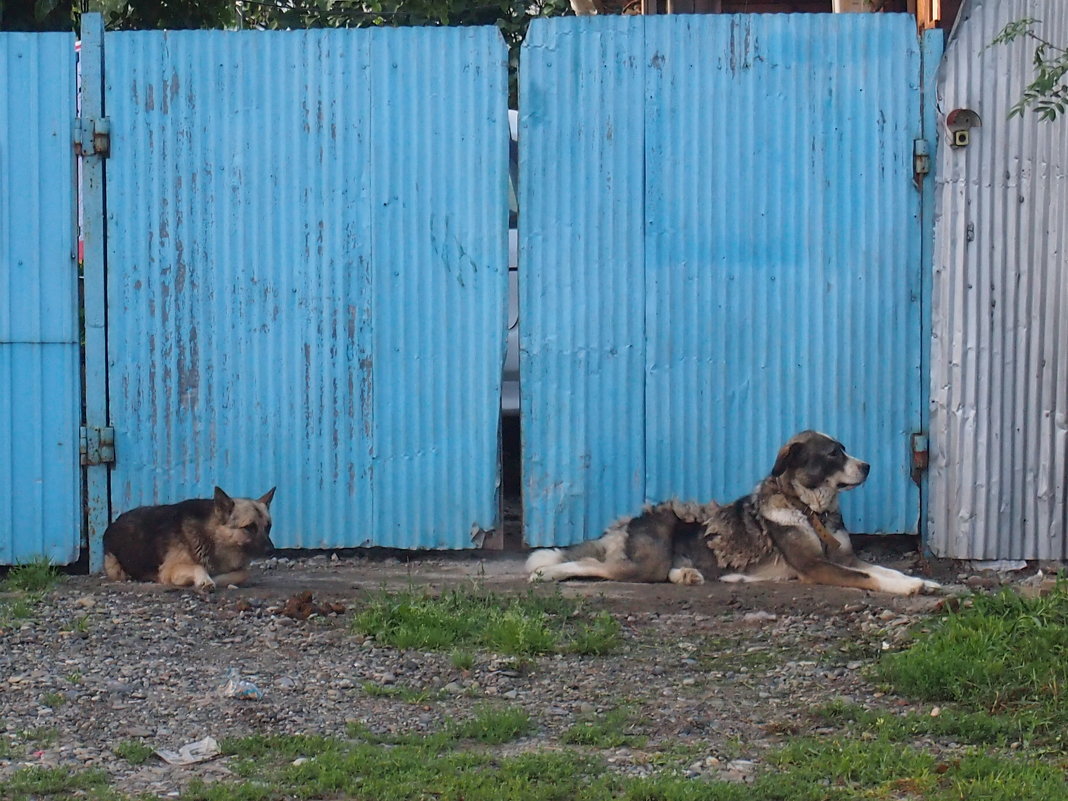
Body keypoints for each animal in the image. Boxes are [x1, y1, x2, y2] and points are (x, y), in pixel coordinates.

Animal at [104, 487, 275, 593]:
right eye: (250, 527)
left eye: (268, 527)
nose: (272, 551)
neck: (212, 537)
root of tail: (114, 522)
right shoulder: (169, 570)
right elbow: (198, 567)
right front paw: (205, 580)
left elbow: (244, 573)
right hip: (115, 569)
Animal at [529, 433, 939, 598]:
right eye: (833, 454)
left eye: (845, 448)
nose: (868, 466)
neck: (809, 509)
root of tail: (628, 522)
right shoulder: (816, 567)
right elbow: (870, 578)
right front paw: (908, 588)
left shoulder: (847, 557)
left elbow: (883, 569)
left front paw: (923, 581)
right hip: (644, 563)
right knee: (589, 565)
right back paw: (545, 574)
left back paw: (690, 575)